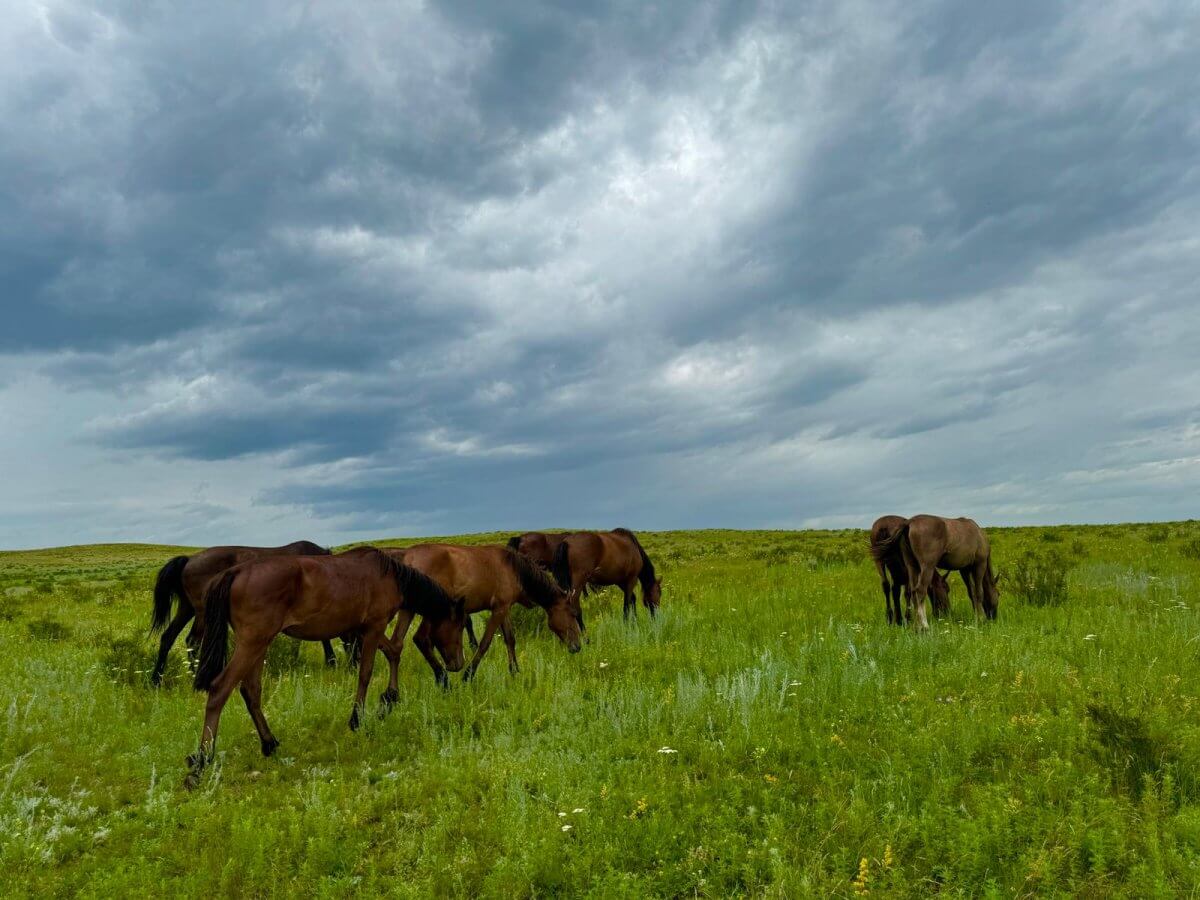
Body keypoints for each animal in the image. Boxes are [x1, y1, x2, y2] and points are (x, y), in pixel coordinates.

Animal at [150, 540, 348, 686]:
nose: (353, 664)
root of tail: (189, 560)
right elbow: (323, 636)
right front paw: (331, 661)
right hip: (201, 611)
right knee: (192, 642)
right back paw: (193, 677)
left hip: (187, 608)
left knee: (168, 637)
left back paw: (156, 680)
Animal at [184, 549, 465, 787]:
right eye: (460, 625)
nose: (458, 664)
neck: (390, 576)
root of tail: (236, 572)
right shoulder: (373, 627)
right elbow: (366, 672)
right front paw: (357, 718)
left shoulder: (363, 629)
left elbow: (393, 651)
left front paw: (390, 697)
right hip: (252, 643)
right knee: (220, 689)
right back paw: (201, 760)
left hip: (258, 644)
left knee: (250, 690)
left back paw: (269, 743)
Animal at [393, 542, 580, 681]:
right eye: (572, 614)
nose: (577, 646)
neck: (514, 569)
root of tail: (408, 557)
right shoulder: (498, 609)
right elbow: (484, 643)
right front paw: (468, 675)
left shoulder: (504, 608)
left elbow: (510, 639)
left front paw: (515, 671)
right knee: (421, 639)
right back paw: (442, 678)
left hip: (409, 610)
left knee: (398, 642)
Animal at [873, 513, 1003, 633]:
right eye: (998, 594)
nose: (994, 616)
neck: (979, 534)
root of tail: (909, 523)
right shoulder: (979, 565)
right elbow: (979, 592)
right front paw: (981, 619)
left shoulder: (964, 570)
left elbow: (972, 593)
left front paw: (977, 616)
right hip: (927, 566)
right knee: (920, 591)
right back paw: (924, 626)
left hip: (912, 566)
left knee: (912, 593)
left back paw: (915, 626)